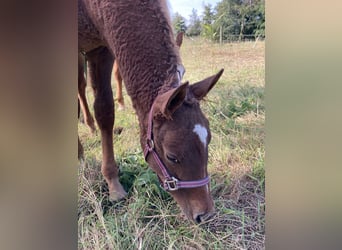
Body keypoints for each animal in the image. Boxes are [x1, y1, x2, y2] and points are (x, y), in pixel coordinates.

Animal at [78, 0, 224, 223]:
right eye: (172, 156)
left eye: (208, 141)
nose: (204, 214)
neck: (91, 7)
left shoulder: (100, 49)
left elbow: (105, 111)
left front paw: (113, 184)